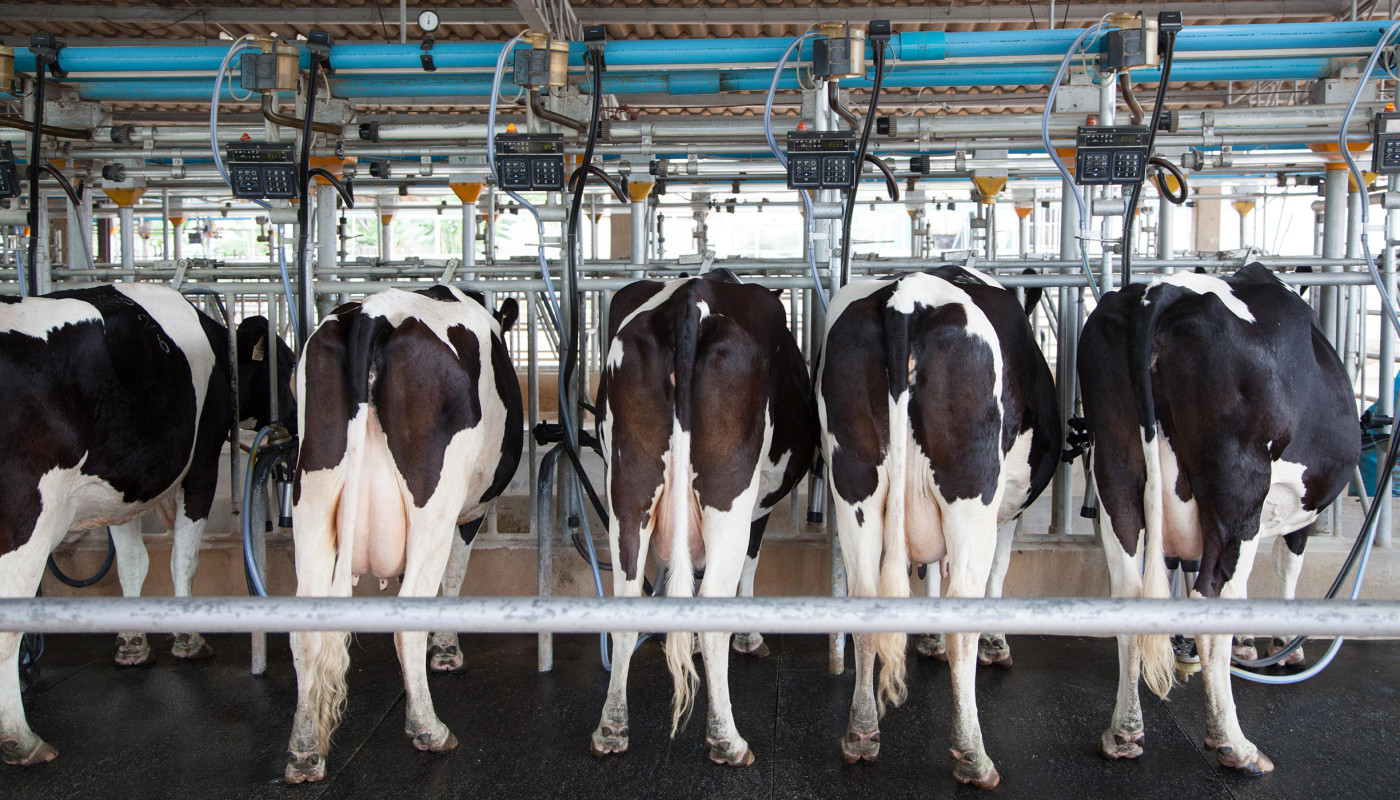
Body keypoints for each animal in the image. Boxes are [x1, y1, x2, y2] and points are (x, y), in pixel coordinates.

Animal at [0, 284, 232, 767]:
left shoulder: (123, 489)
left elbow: (130, 563)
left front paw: (132, 641)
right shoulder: (201, 463)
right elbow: (183, 558)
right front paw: (188, 637)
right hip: (25, 517)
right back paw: (21, 738)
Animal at [282, 285, 520, 784]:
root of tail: (376, 312)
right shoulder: (469, 515)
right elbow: (453, 578)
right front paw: (446, 650)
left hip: (311, 493)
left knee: (304, 629)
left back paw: (304, 751)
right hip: (433, 501)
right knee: (406, 620)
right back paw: (430, 729)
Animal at [590, 271, 817, 767]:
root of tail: (691, 301)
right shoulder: (758, 508)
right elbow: (749, 566)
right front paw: (749, 637)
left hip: (627, 492)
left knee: (626, 599)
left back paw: (611, 728)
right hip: (728, 495)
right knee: (715, 600)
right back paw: (727, 740)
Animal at [817, 267, 1052, 790]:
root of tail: (907, 296)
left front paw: (927, 636)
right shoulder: (1010, 507)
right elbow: (996, 575)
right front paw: (994, 644)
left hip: (854, 483)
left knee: (865, 595)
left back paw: (861, 732)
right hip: (971, 491)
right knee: (965, 607)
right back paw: (972, 754)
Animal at [1080, 264, 1355, 778]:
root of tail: (1163, 290)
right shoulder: (1297, 510)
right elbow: (1287, 567)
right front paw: (1283, 643)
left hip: (1115, 473)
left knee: (1128, 589)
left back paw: (1124, 733)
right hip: (1238, 488)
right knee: (1212, 599)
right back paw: (1236, 745)